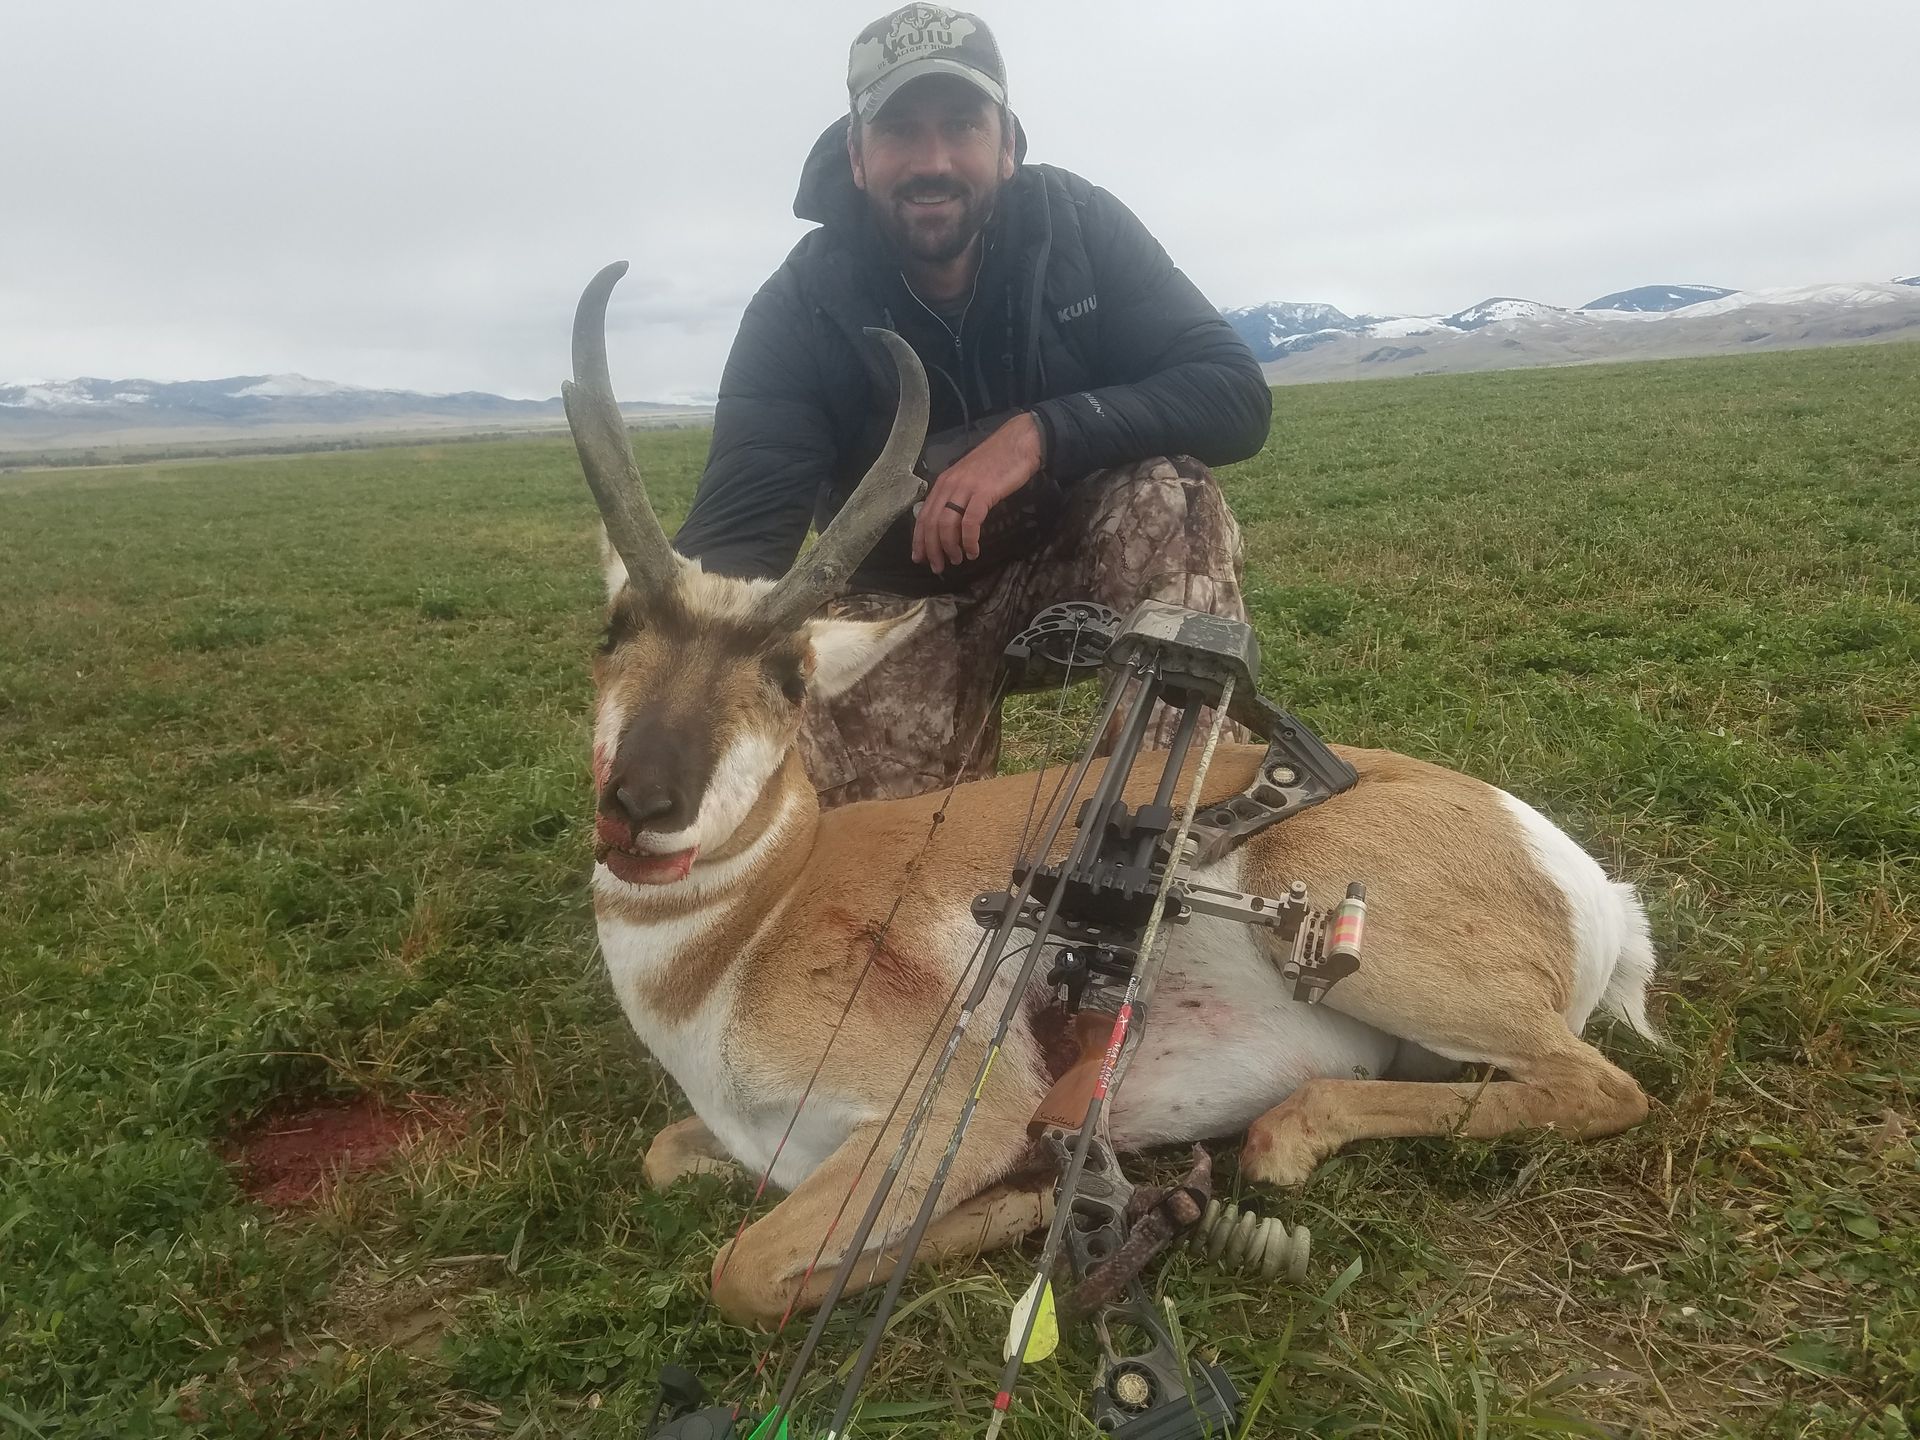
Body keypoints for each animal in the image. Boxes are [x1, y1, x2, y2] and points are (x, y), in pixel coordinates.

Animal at [566, 263, 1659, 1328]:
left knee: (1605, 1086)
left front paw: (1027, 1201)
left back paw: (1283, 1136)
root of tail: (1586, 881)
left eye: (791, 676)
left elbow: (742, 1271)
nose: (645, 803)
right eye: (614, 629)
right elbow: (667, 1162)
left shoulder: (957, 1109)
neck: (756, 920)